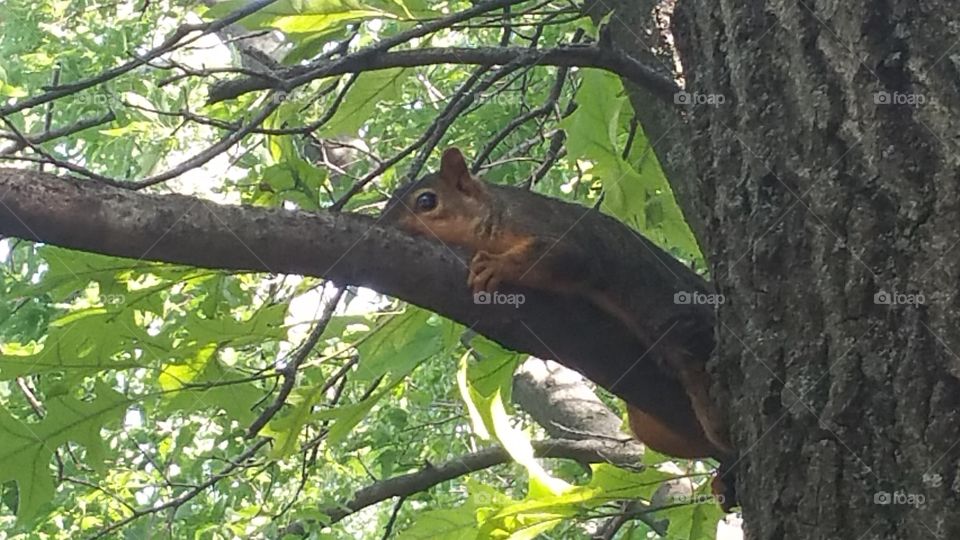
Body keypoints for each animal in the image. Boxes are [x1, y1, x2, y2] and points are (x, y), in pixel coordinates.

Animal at [380, 147, 737, 510]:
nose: (383, 225)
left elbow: (562, 257)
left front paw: (498, 265)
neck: (496, 213)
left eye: (426, 201)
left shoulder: (558, 232)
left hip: (682, 324)